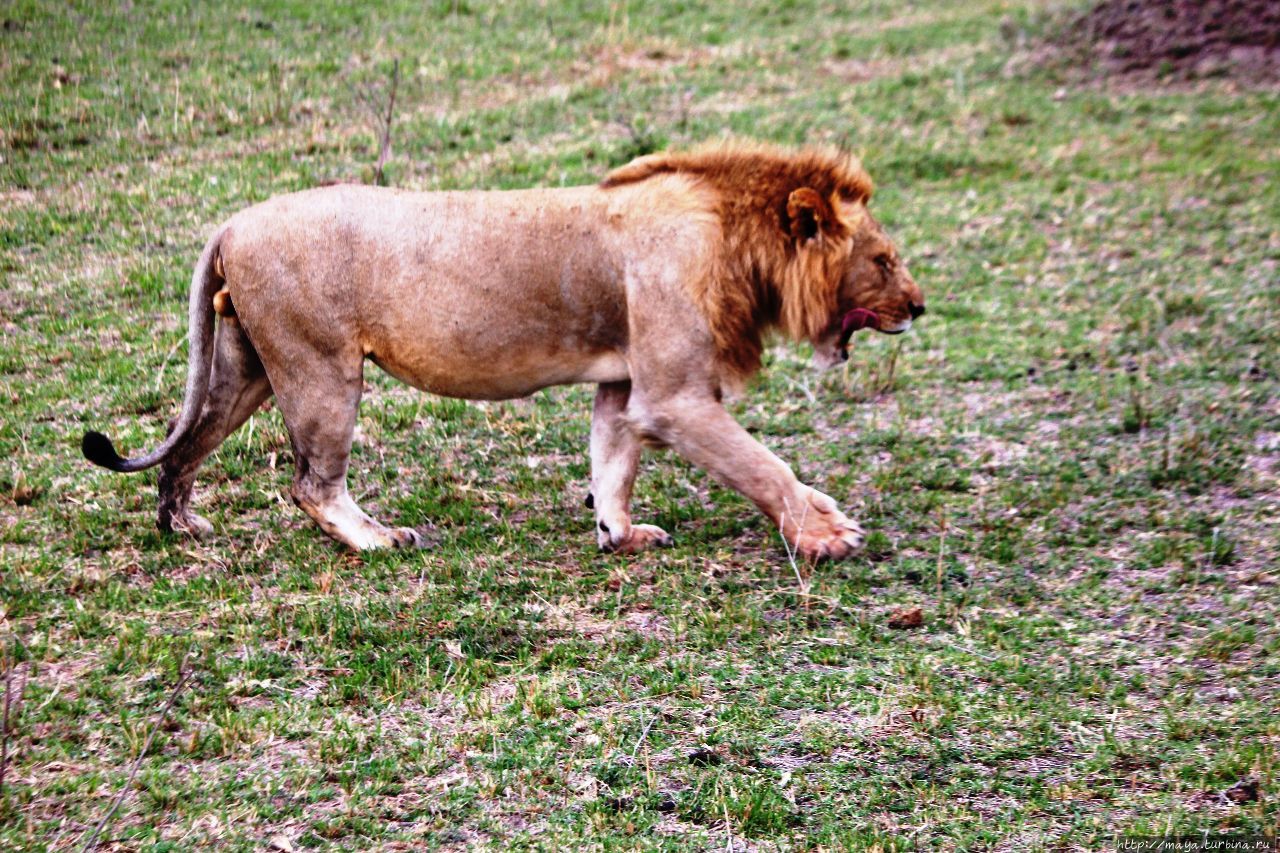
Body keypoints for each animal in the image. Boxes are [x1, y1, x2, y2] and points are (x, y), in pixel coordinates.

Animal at [82, 139, 921, 558]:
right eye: (882, 259)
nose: (919, 305)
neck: (735, 240)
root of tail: (232, 221)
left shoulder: (624, 383)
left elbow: (612, 462)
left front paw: (620, 535)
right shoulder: (674, 395)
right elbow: (762, 464)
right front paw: (826, 533)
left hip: (248, 365)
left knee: (188, 444)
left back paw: (182, 528)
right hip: (320, 368)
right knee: (311, 484)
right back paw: (377, 539)